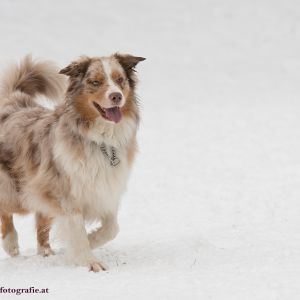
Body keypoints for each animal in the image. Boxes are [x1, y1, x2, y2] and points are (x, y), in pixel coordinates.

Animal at [0, 54, 145, 272]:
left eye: (120, 80)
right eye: (95, 82)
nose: (116, 96)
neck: (100, 140)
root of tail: (13, 103)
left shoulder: (103, 190)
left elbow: (112, 228)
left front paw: (87, 242)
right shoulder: (66, 192)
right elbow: (77, 229)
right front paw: (89, 261)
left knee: (41, 223)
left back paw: (46, 254)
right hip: (18, 192)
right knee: (6, 210)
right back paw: (11, 244)